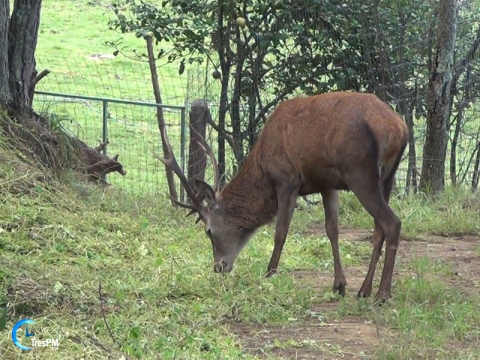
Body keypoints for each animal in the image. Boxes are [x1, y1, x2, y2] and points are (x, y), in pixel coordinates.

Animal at [158, 91, 408, 300]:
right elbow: (332, 230)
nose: (219, 267)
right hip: (388, 177)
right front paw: (339, 285)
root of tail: (398, 129)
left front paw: (269, 273)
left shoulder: (286, 179)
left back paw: (383, 294)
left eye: (208, 231)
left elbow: (280, 231)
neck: (262, 166)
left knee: (392, 223)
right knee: (378, 230)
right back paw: (364, 290)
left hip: (358, 171)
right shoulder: (327, 183)